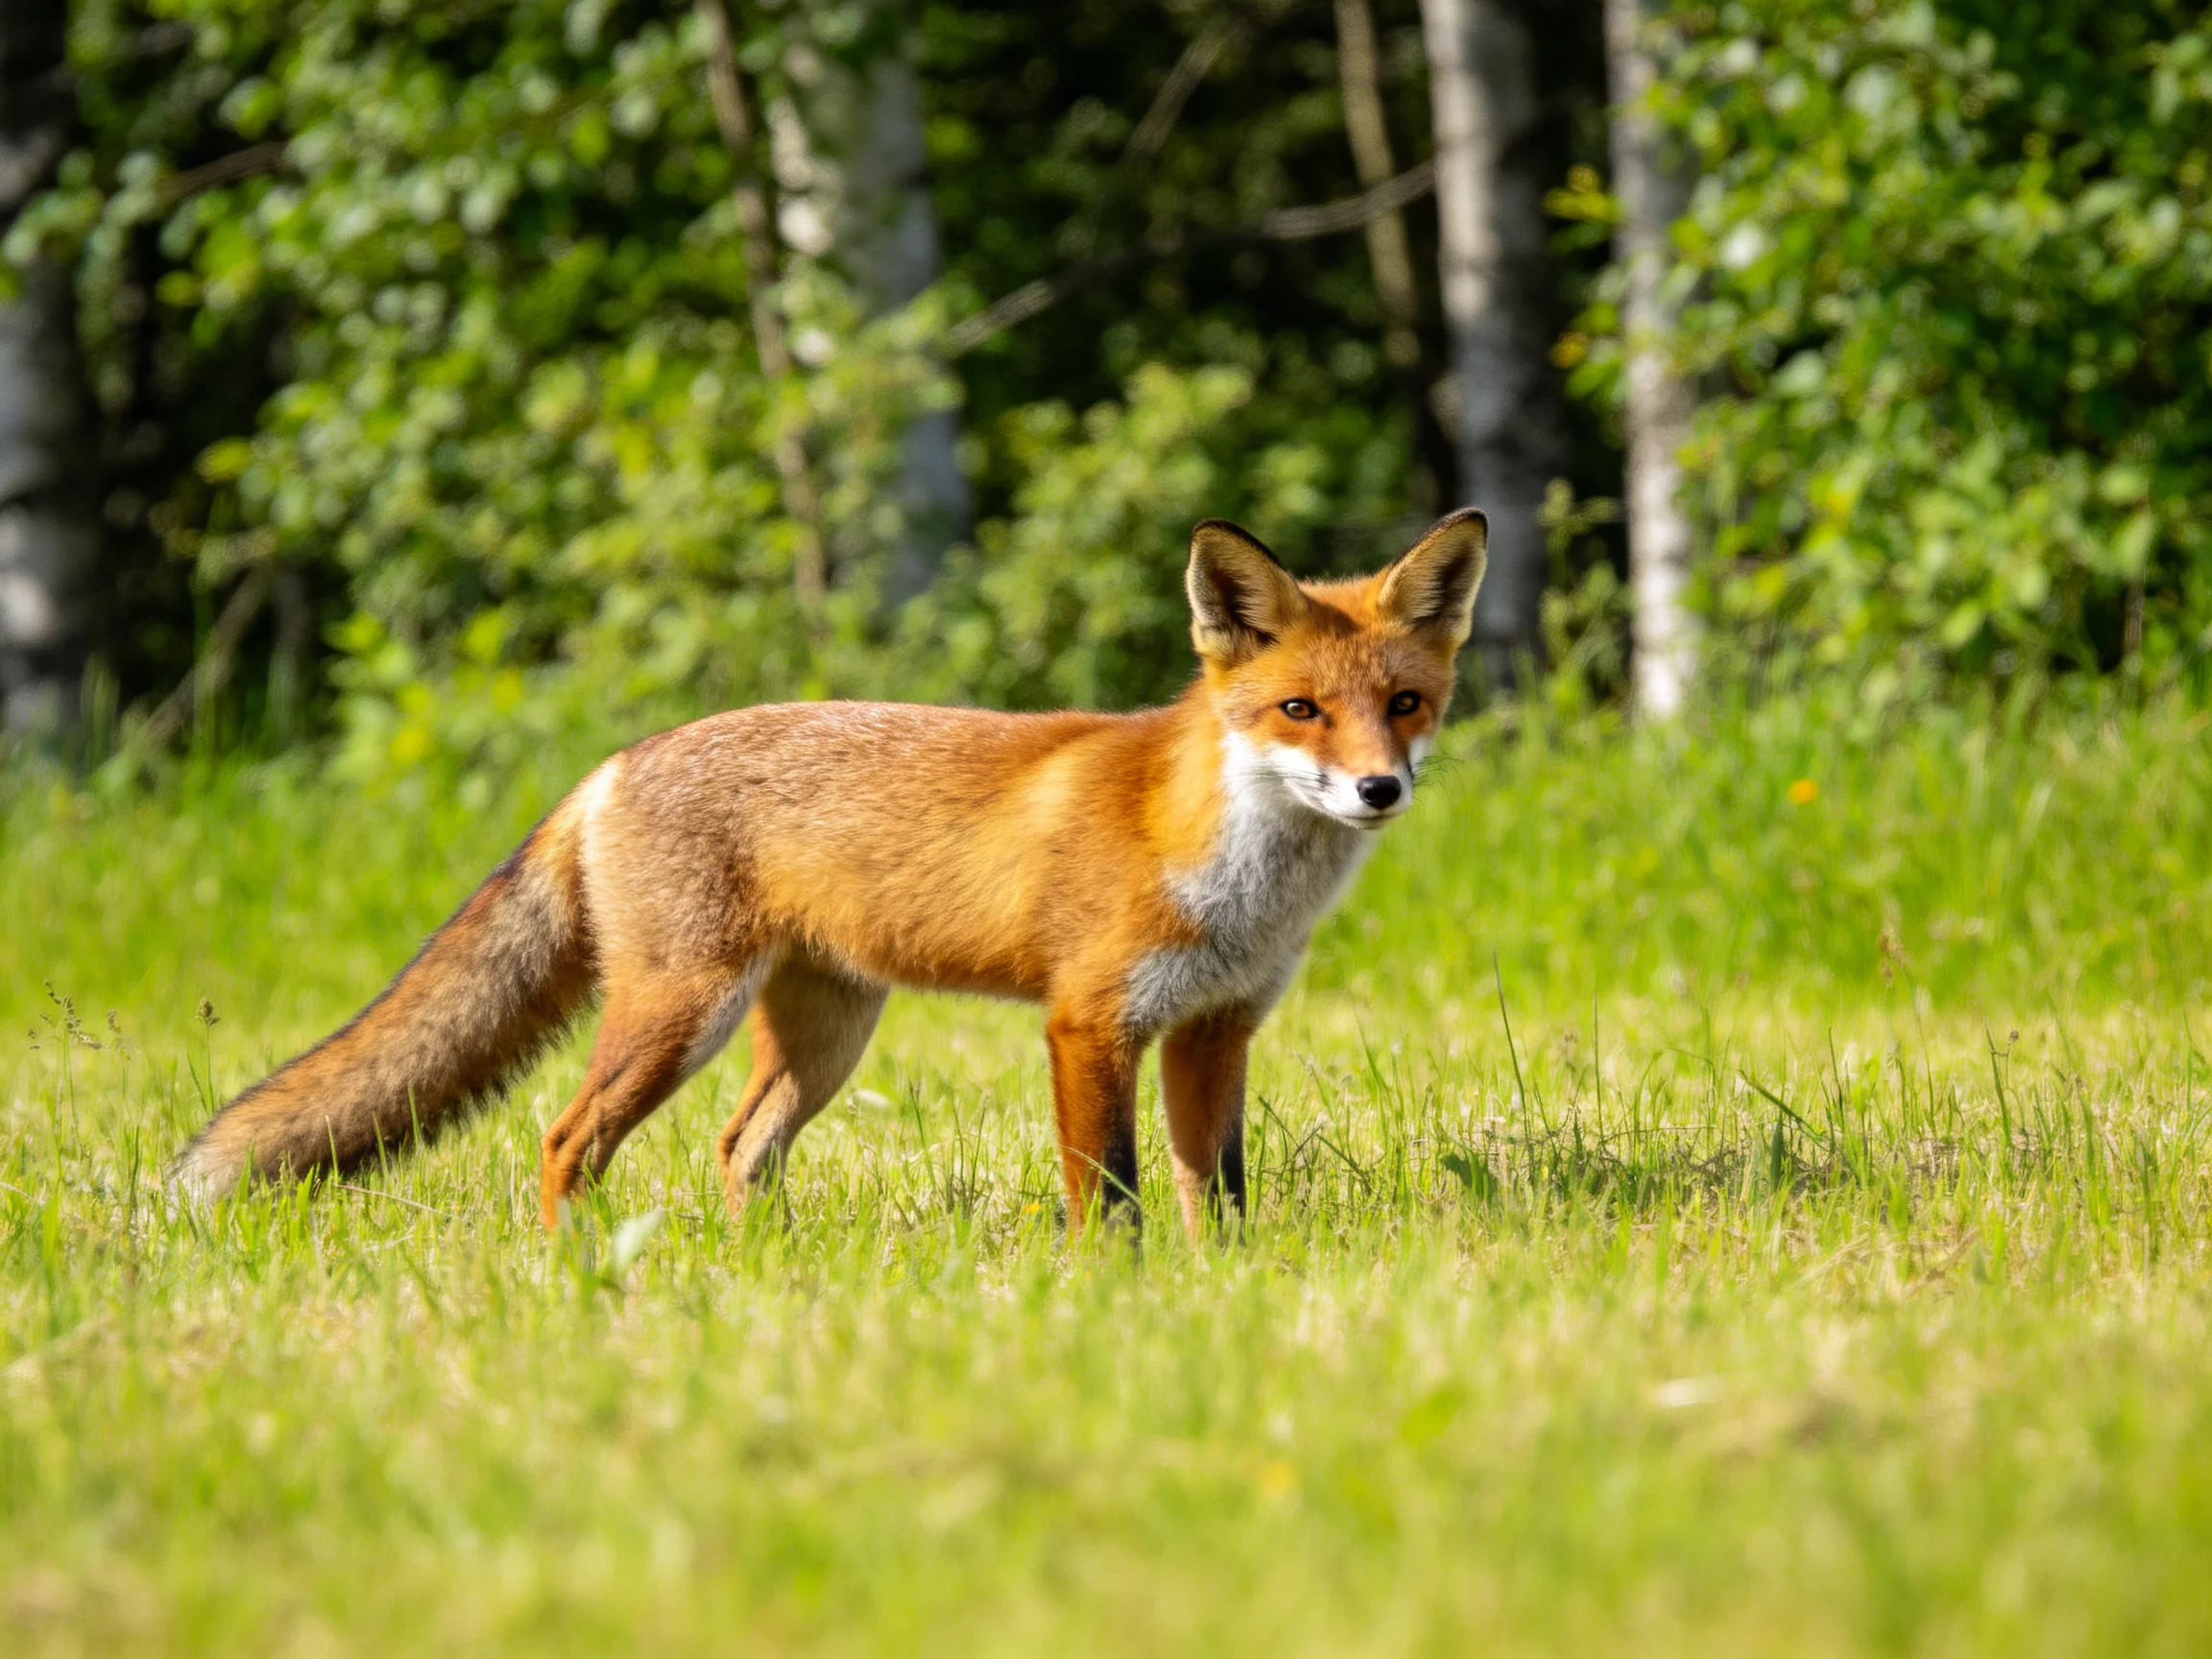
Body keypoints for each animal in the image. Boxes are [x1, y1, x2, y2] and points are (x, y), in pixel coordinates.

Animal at [172, 508, 1487, 1238]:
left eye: (1404, 704)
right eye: (1300, 711)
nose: (1380, 791)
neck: (1238, 883)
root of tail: (610, 763)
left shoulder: (1217, 1029)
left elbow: (1218, 1192)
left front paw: (1222, 1295)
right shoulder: (1089, 1026)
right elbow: (1107, 1197)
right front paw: (1112, 1300)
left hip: (826, 1033)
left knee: (736, 1146)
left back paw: (763, 1273)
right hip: (679, 1014)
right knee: (564, 1139)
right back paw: (574, 1279)